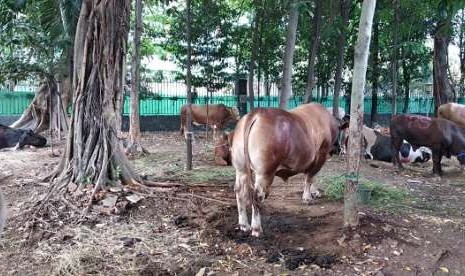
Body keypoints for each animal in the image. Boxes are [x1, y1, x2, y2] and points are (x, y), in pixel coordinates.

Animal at [231, 103, 338, 237]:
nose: (338, 149)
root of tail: (257, 112)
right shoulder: (321, 154)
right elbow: (310, 177)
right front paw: (307, 197)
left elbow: (310, 176)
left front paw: (314, 192)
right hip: (265, 172)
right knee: (257, 196)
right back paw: (256, 229)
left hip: (241, 168)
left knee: (239, 191)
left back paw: (244, 225)